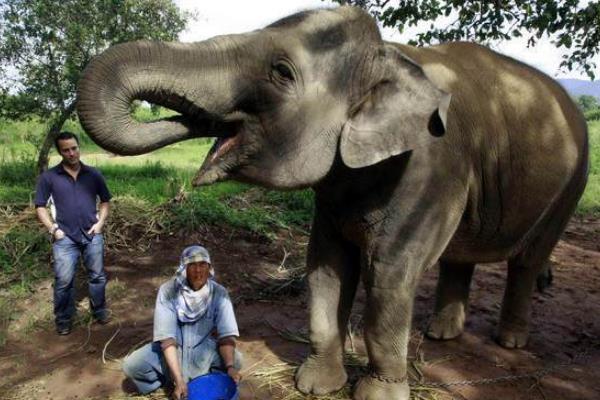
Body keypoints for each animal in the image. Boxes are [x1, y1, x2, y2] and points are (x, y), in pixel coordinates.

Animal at [77, 6, 588, 400]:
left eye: (281, 73)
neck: (393, 57)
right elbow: (326, 265)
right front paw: (315, 385)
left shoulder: (432, 166)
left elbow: (389, 271)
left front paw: (378, 394)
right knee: (458, 257)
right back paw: (441, 334)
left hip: (571, 184)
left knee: (528, 260)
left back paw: (510, 342)